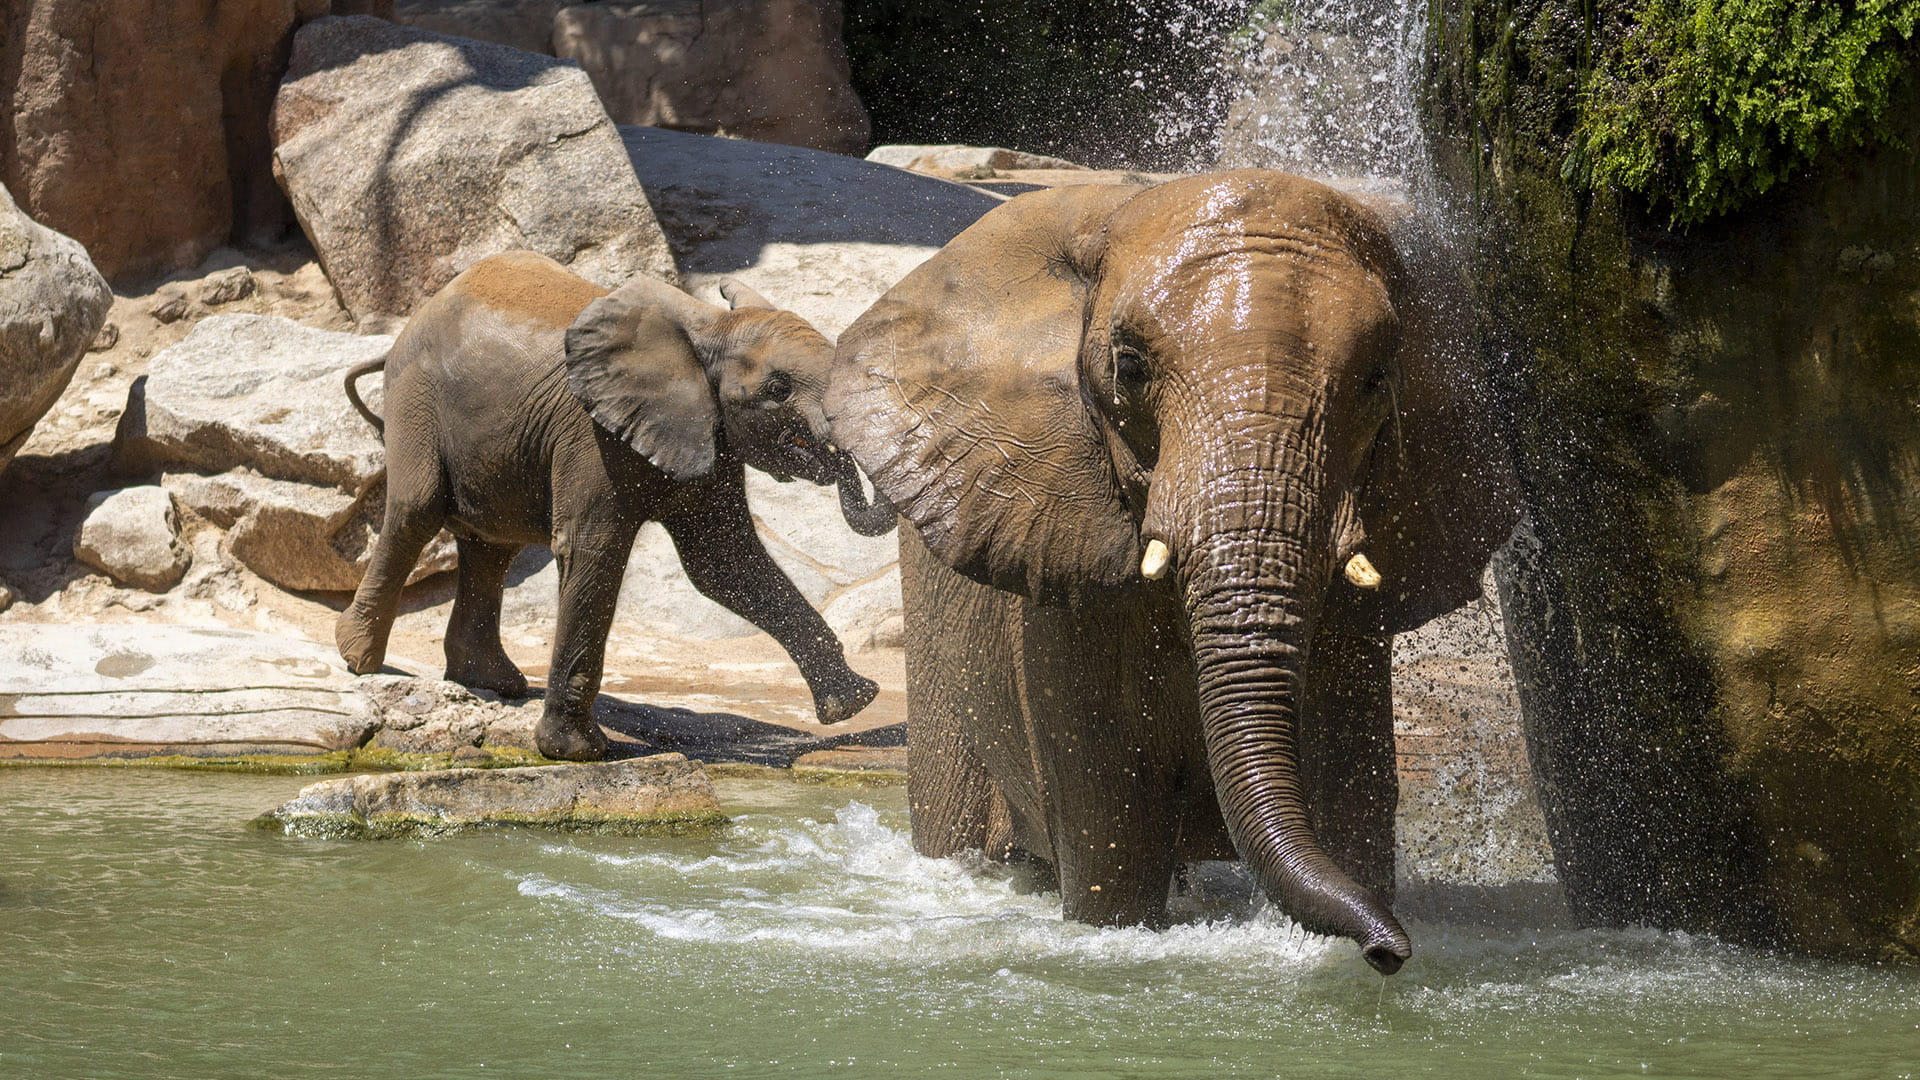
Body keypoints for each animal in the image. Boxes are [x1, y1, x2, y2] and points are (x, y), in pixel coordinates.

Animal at [337, 250, 894, 761]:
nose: (836, 459)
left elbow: (724, 562)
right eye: (779, 390)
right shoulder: (591, 434)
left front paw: (855, 703)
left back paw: (494, 682)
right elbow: (593, 550)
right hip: (416, 395)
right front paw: (576, 753)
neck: (708, 328)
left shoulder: (711, 435)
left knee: (493, 544)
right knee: (418, 511)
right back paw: (358, 658)